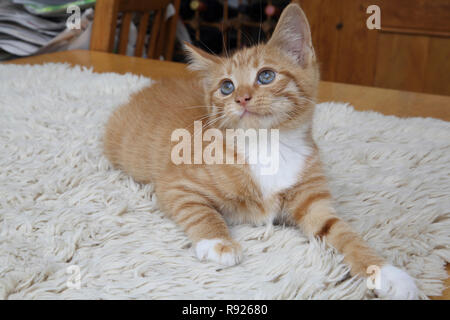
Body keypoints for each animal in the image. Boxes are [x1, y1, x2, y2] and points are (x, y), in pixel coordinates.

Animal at [103, 4, 420, 300]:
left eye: (266, 76)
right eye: (226, 86)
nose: (242, 98)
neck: (267, 143)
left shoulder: (313, 202)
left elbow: (342, 232)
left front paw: (387, 272)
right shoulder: (175, 184)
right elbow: (200, 212)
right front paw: (218, 242)